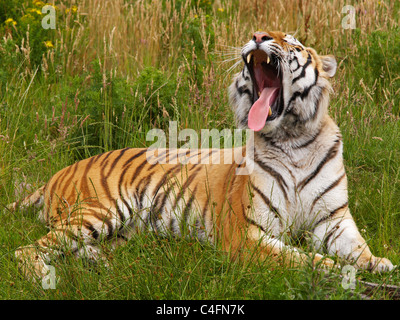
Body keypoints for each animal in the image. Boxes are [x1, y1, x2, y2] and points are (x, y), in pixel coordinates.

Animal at [8, 31, 394, 278]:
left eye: (293, 43)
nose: (258, 36)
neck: (294, 139)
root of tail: (57, 173)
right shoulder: (247, 235)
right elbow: (302, 259)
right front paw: (339, 271)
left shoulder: (333, 219)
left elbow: (359, 247)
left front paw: (380, 263)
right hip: (99, 210)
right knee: (26, 250)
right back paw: (44, 278)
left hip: (121, 231)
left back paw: (98, 262)